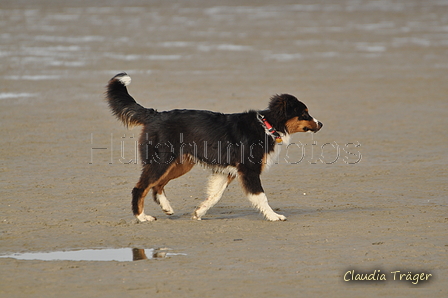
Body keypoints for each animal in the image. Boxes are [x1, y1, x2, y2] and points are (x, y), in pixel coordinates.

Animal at [105, 72, 322, 221]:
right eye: (305, 113)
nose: (321, 124)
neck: (267, 126)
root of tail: (155, 114)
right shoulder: (248, 170)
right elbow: (261, 197)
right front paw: (274, 216)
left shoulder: (226, 171)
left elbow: (215, 195)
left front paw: (198, 212)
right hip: (162, 161)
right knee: (140, 187)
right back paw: (142, 217)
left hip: (180, 163)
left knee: (157, 185)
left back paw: (167, 208)